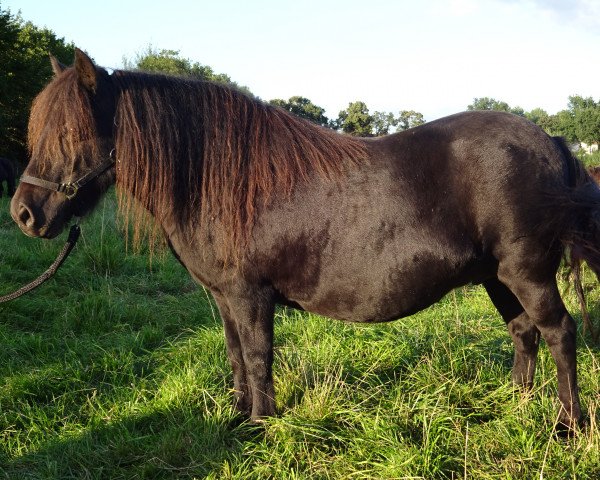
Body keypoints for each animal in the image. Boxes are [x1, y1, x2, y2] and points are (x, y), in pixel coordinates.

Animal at [9, 49, 600, 432]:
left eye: (71, 133)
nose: (23, 213)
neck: (218, 179)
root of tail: (552, 142)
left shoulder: (250, 295)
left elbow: (258, 355)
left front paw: (262, 424)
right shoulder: (223, 297)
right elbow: (235, 354)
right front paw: (238, 417)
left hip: (527, 272)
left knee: (560, 332)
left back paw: (568, 423)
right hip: (497, 276)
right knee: (523, 333)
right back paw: (516, 404)